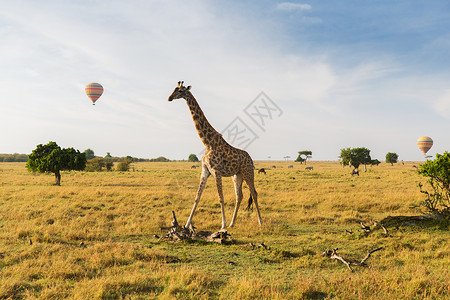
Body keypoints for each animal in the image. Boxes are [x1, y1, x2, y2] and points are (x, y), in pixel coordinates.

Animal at [169, 81, 262, 231]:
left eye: (181, 90)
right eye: (174, 89)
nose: (169, 98)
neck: (207, 142)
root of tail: (251, 159)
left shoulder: (216, 171)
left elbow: (221, 197)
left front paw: (222, 225)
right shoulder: (205, 171)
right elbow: (197, 197)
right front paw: (187, 224)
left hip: (248, 173)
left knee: (254, 193)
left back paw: (260, 221)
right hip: (237, 176)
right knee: (239, 196)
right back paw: (232, 223)